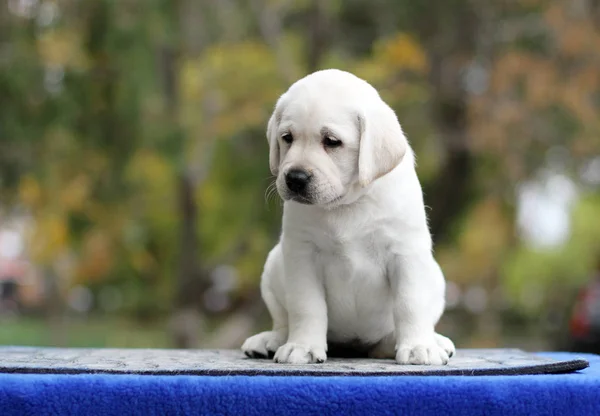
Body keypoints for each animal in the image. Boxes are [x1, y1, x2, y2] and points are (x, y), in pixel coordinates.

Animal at [240, 68, 454, 364]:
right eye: (287, 138)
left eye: (332, 142)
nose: (295, 178)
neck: (346, 204)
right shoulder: (302, 254)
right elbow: (306, 306)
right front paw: (302, 346)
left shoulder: (406, 252)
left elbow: (410, 303)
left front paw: (419, 347)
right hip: (274, 264)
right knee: (283, 321)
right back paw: (271, 340)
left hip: (436, 277)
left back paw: (428, 341)